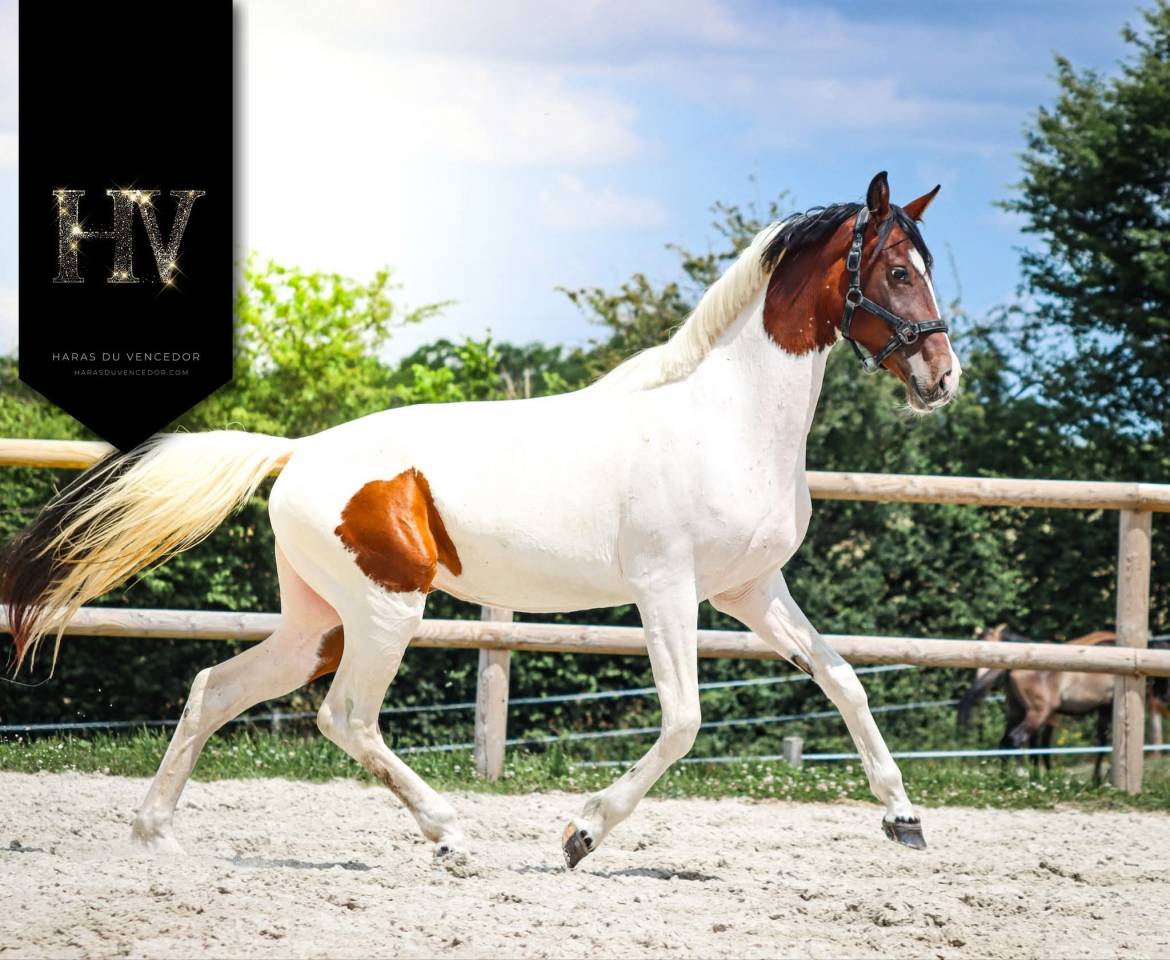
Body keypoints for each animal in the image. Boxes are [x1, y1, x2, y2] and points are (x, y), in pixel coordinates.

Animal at [1, 171, 960, 866]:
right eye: (897, 271)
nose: (942, 377)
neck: (723, 418)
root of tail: (299, 452)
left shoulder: (750, 590)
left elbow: (844, 680)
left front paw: (904, 820)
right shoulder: (667, 589)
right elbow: (686, 719)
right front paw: (579, 835)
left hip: (321, 623)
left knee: (216, 689)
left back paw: (157, 837)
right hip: (385, 612)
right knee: (344, 718)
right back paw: (453, 836)